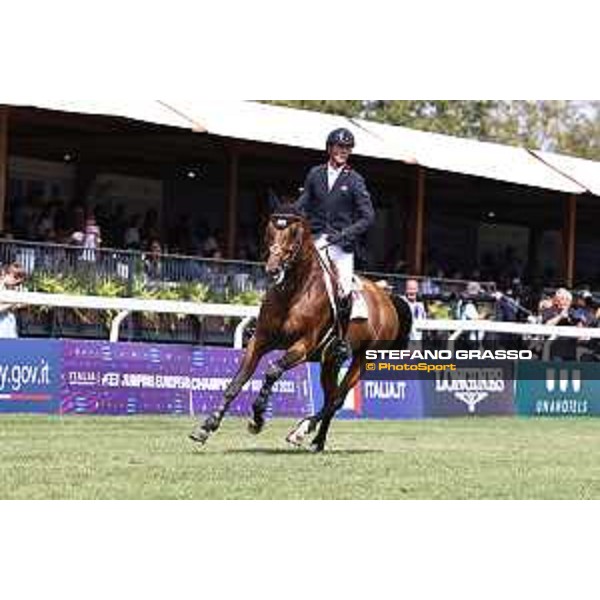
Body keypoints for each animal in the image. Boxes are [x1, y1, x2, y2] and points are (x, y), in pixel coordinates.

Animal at [189, 210, 412, 450]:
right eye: (269, 236)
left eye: (293, 241)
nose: (272, 270)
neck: (293, 292)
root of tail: (386, 298)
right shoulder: (260, 341)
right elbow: (237, 381)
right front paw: (206, 426)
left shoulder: (302, 347)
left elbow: (272, 371)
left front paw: (257, 418)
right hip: (330, 361)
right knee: (332, 396)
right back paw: (317, 441)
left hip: (363, 358)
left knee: (337, 399)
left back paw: (301, 430)